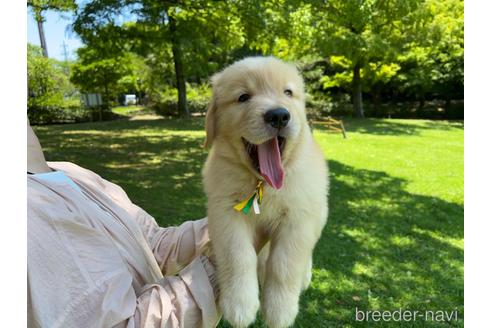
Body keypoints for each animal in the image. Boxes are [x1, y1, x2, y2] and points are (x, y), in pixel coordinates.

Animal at [202, 57, 328, 328]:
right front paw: (240, 305)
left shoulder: (300, 218)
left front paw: (280, 310)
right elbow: (238, 255)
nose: (279, 115)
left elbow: (284, 264)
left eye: (288, 92)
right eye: (243, 97)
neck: (263, 184)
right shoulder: (225, 212)